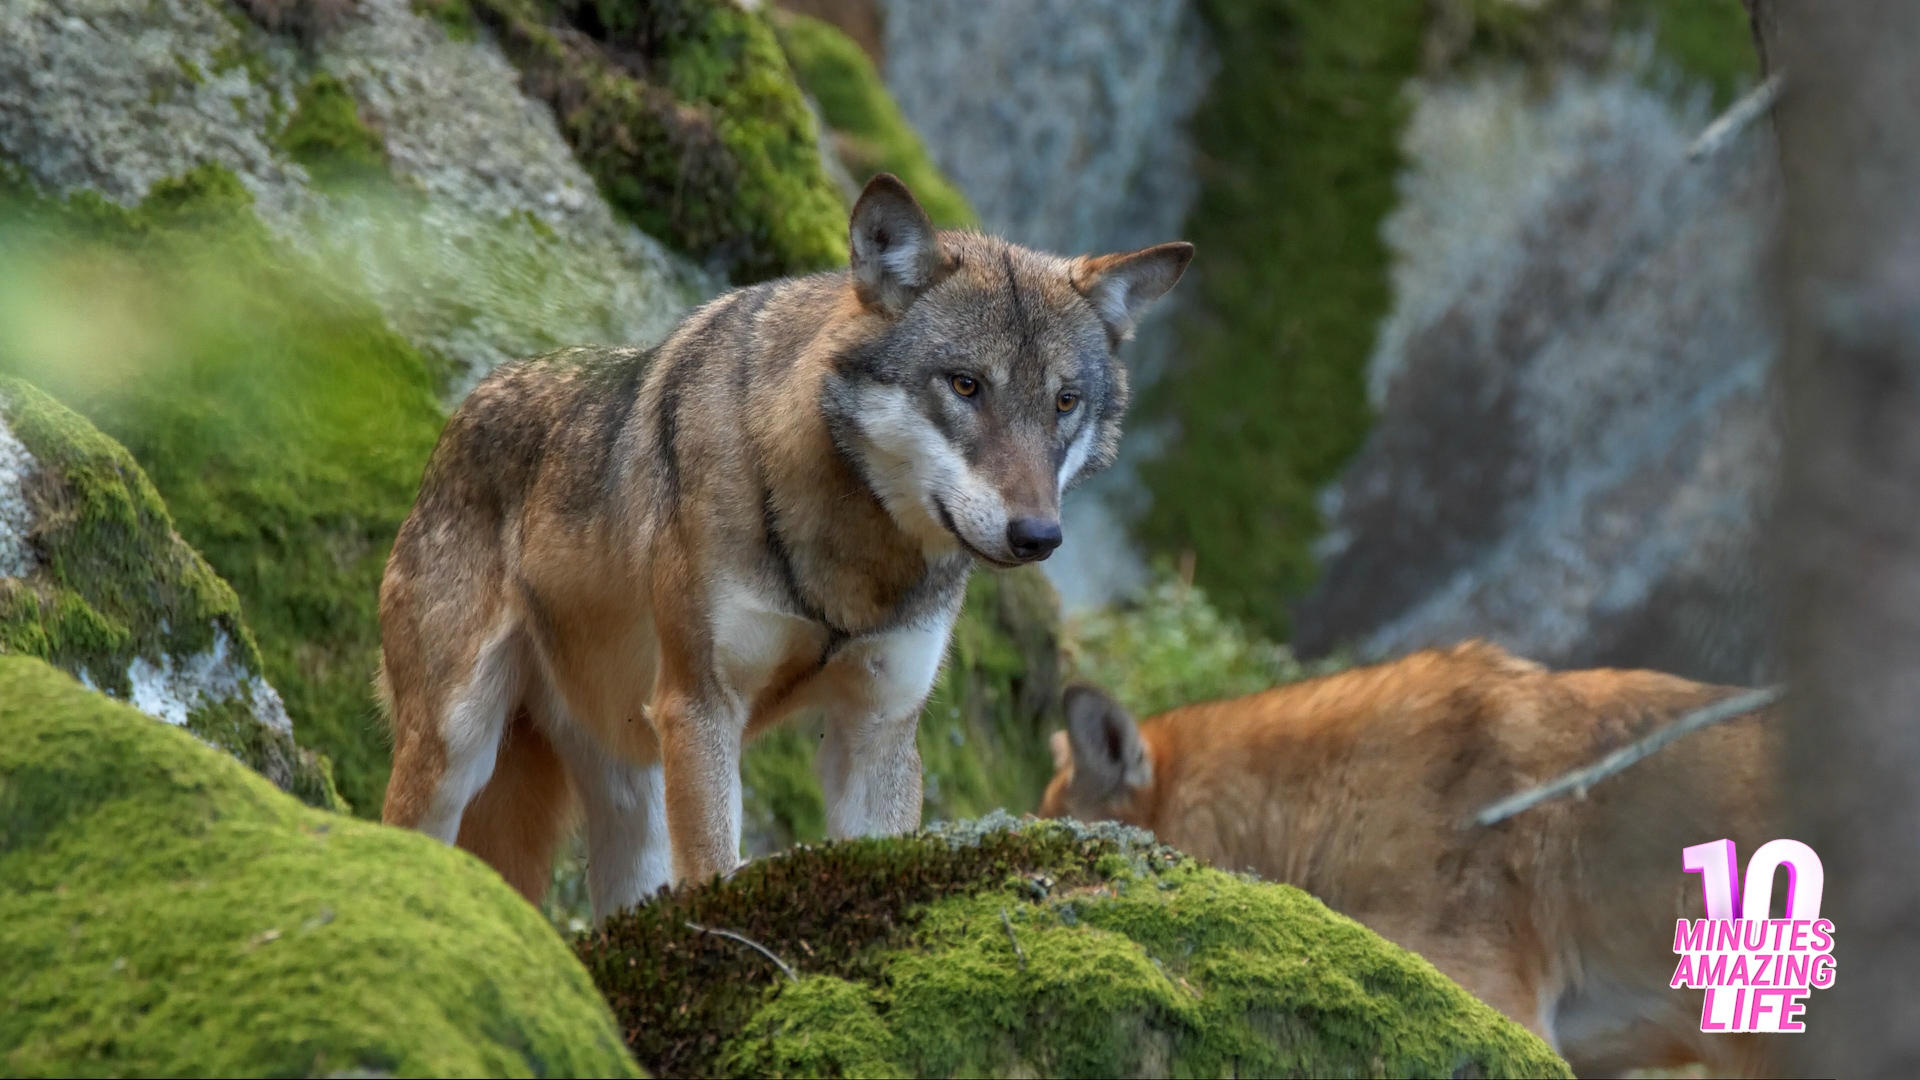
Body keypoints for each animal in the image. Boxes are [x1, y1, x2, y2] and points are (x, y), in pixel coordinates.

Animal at [378, 174, 1192, 922]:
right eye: (965, 385)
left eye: (1064, 402)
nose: (1038, 537)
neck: (854, 566)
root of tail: (463, 413)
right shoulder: (700, 706)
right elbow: (714, 872)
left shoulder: (878, 731)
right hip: (458, 749)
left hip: (631, 795)